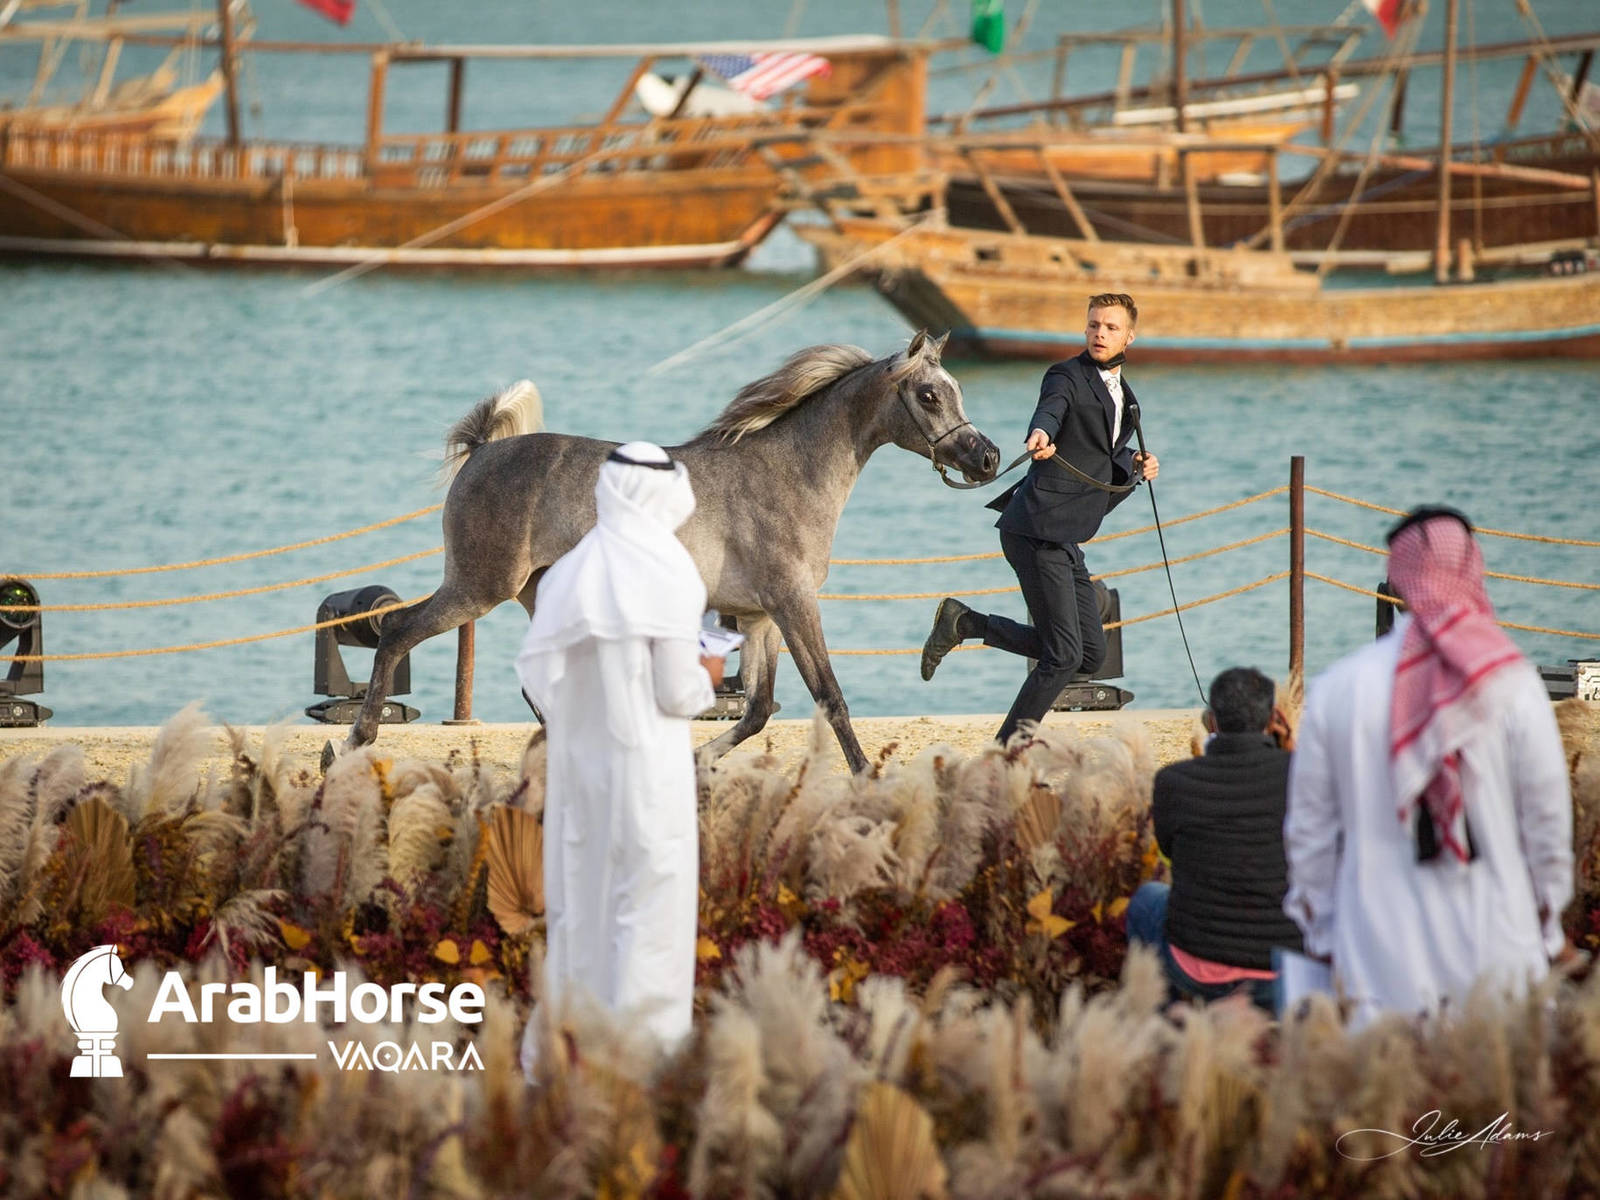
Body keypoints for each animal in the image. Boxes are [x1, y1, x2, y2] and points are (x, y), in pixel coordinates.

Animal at [341, 330, 1001, 774]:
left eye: (956, 390)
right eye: (928, 395)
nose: (988, 457)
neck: (788, 473)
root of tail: (483, 451)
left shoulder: (759, 617)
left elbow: (758, 709)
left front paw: (697, 763)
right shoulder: (793, 604)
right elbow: (828, 698)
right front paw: (865, 776)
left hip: (537, 596)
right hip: (479, 588)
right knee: (397, 632)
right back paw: (350, 745)